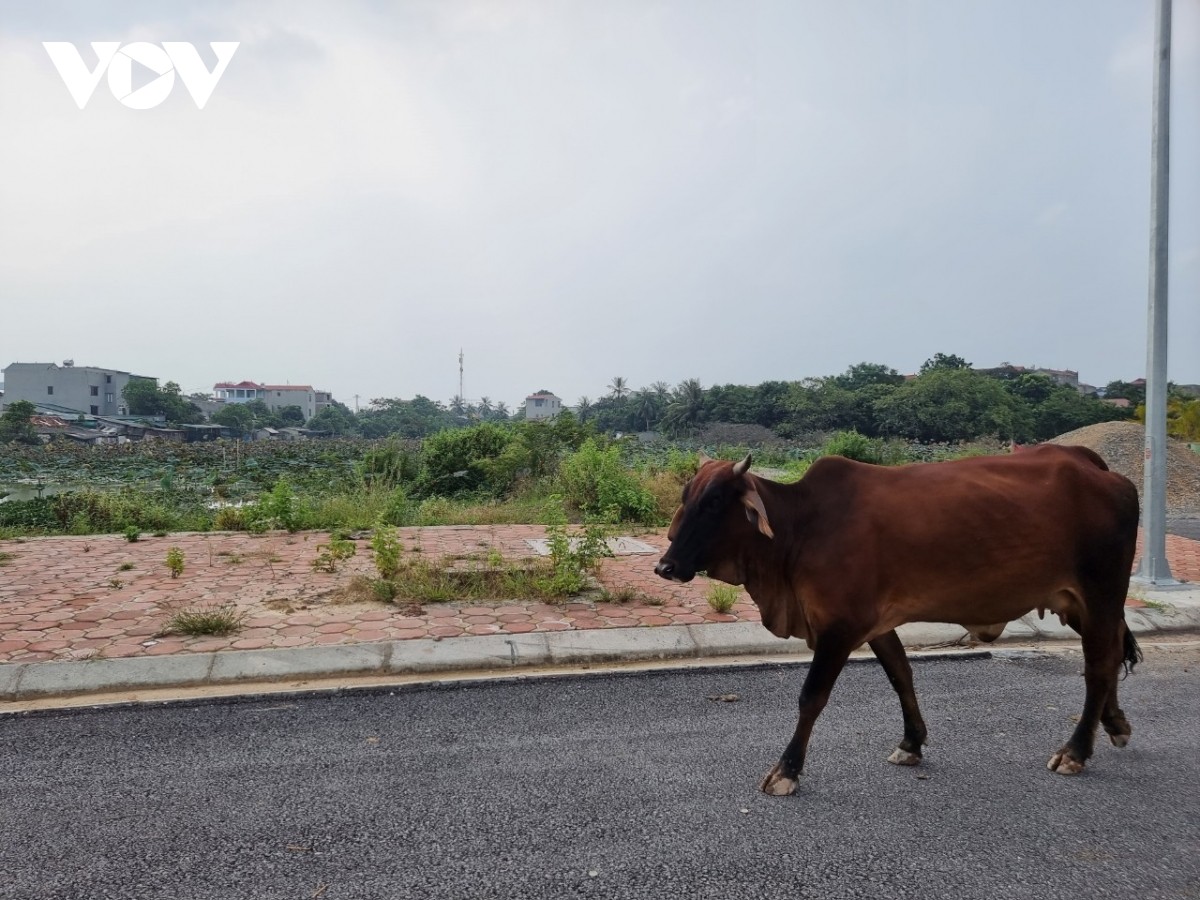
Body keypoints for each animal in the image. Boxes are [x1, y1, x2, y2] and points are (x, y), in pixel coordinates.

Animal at [657, 446, 1142, 796]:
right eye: (686, 497)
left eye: (714, 501)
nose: (665, 566)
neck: (801, 529)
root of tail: (1098, 468)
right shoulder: (876, 623)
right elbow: (901, 676)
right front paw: (911, 743)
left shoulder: (839, 629)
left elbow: (811, 697)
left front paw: (786, 771)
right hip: (1077, 604)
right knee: (1111, 651)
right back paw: (1114, 724)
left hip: (1100, 593)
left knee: (1099, 667)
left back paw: (1075, 750)